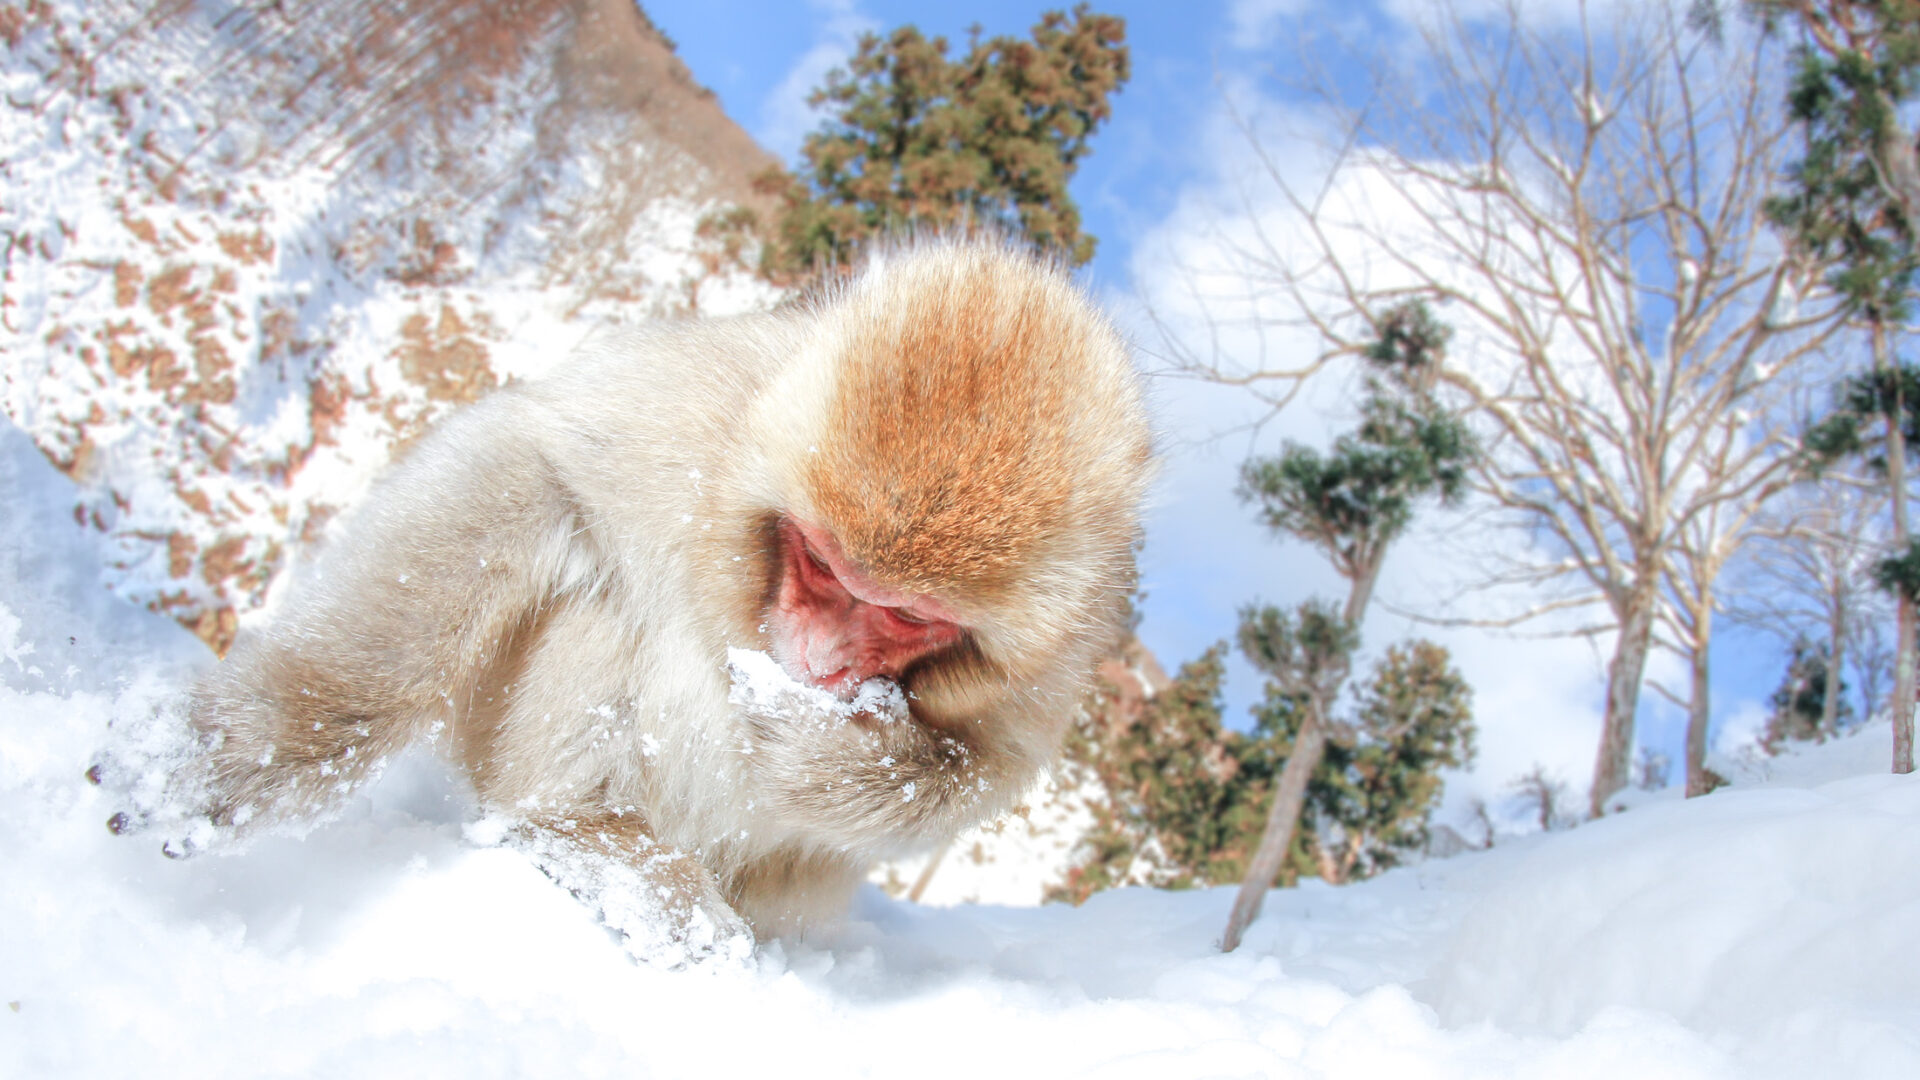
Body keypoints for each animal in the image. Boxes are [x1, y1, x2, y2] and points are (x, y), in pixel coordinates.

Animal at [134, 238, 1152, 958]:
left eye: (906, 616)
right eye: (823, 567)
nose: (820, 661)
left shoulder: (1063, 652)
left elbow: (985, 768)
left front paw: (817, 745)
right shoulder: (700, 415)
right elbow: (535, 467)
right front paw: (261, 739)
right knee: (604, 604)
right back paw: (578, 832)